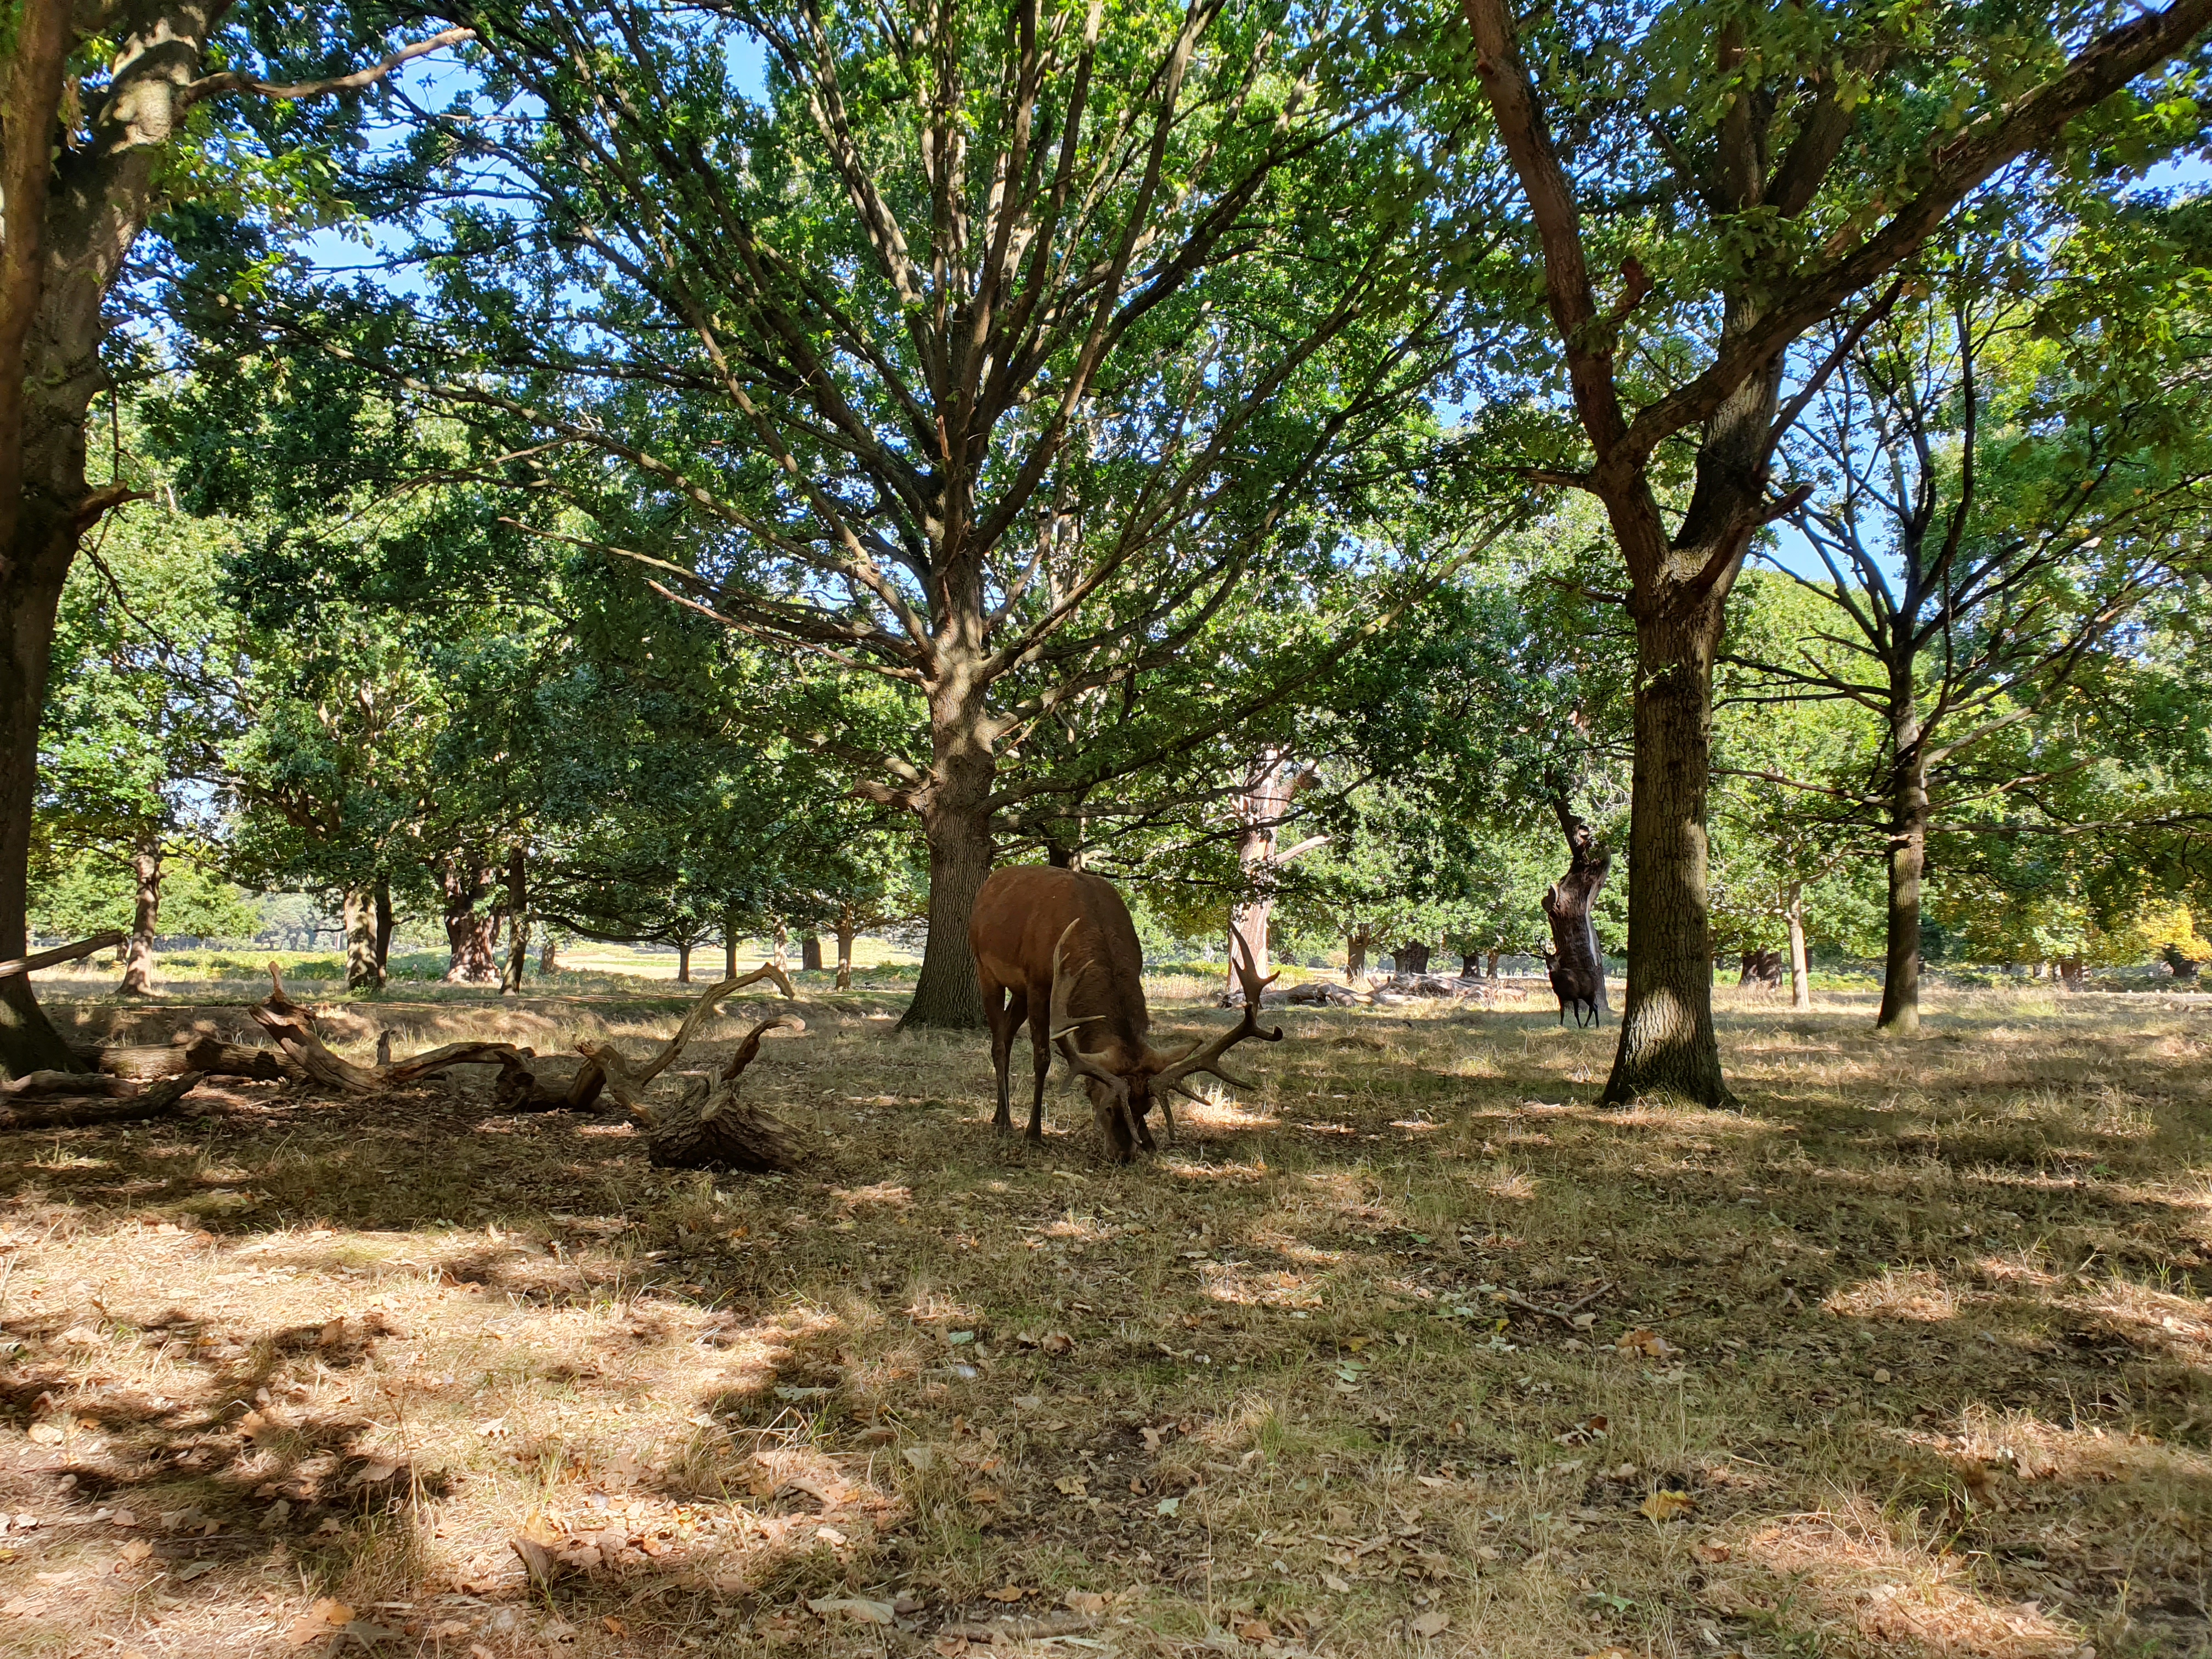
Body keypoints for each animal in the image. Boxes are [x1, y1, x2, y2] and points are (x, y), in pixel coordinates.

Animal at [969, 862, 1283, 1159]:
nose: (1124, 1155)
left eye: (1147, 1108)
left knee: (1008, 1034)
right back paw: (1006, 1122)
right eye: (1107, 1106)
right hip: (986, 968)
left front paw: (1150, 1142)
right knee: (999, 1043)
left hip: (1018, 991)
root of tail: (988, 884)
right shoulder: (1037, 983)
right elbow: (1042, 1057)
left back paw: (998, 1115)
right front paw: (1034, 1133)